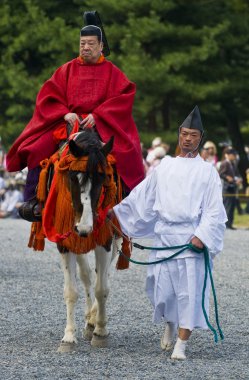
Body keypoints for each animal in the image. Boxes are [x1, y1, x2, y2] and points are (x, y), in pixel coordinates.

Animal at [28, 127, 128, 350]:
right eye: (74, 177)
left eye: (102, 177)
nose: (84, 227)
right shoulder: (66, 242)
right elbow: (71, 290)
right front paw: (68, 337)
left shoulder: (104, 239)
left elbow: (102, 288)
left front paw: (100, 331)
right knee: (86, 275)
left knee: (105, 276)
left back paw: (94, 319)